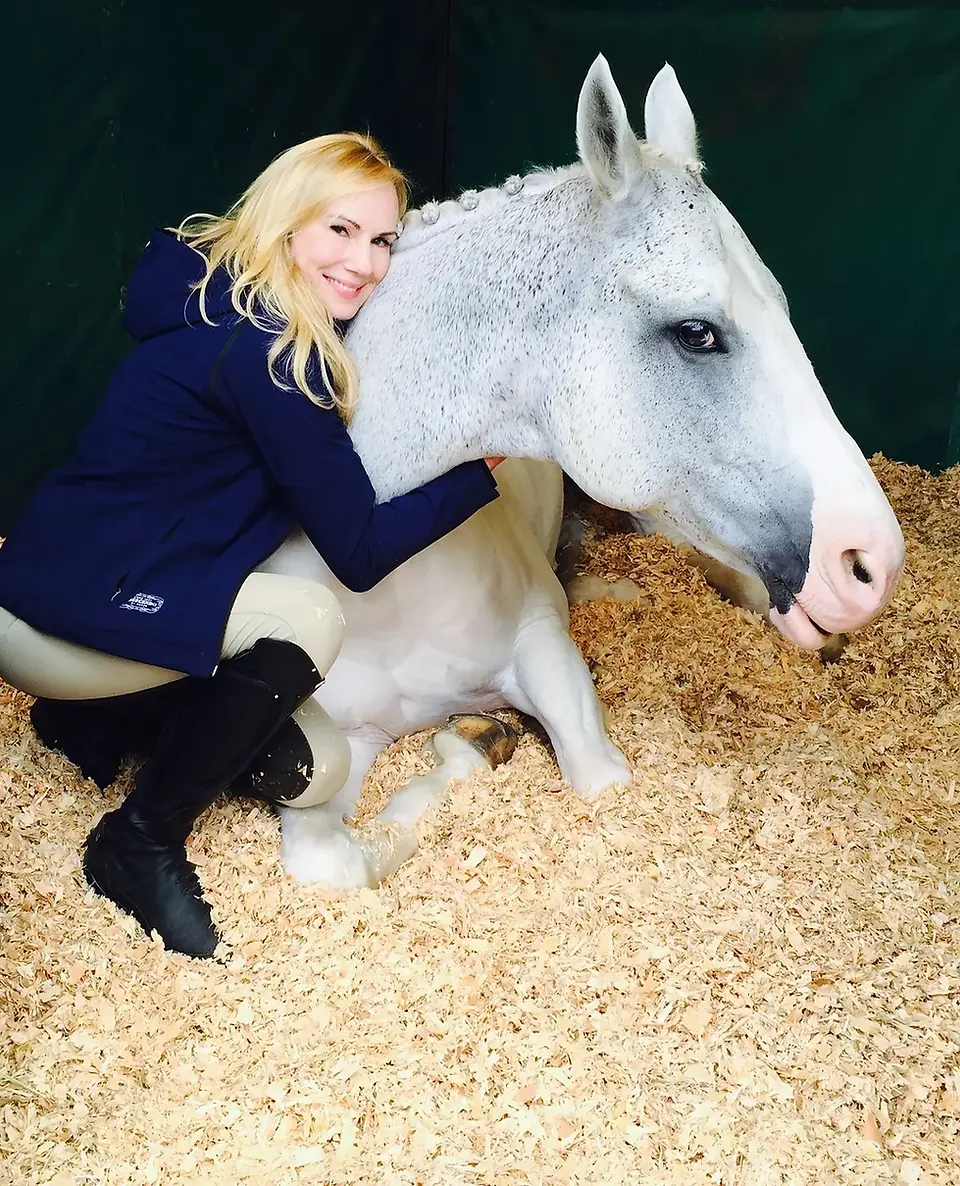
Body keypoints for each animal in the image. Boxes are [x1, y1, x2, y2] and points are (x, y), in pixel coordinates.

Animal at [261, 55, 905, 888]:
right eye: (696, 332)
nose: (872, 562)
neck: (386, 588)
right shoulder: (326, 751)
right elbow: (331, 861)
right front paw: (472, 744)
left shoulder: (549, 662)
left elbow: (594, 780)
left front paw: (476, 742)